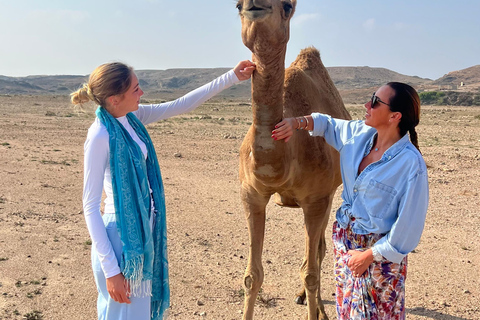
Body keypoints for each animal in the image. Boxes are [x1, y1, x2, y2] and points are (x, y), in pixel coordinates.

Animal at [237, 0, 352, 320]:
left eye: (287, 6)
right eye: (236, 5)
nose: (254, 6)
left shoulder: (316, 199)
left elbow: (311, 271)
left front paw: (314, 306)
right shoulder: (251, 194)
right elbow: (252, 275)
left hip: (329, 195)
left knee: (319, 251)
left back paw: (317, 306)